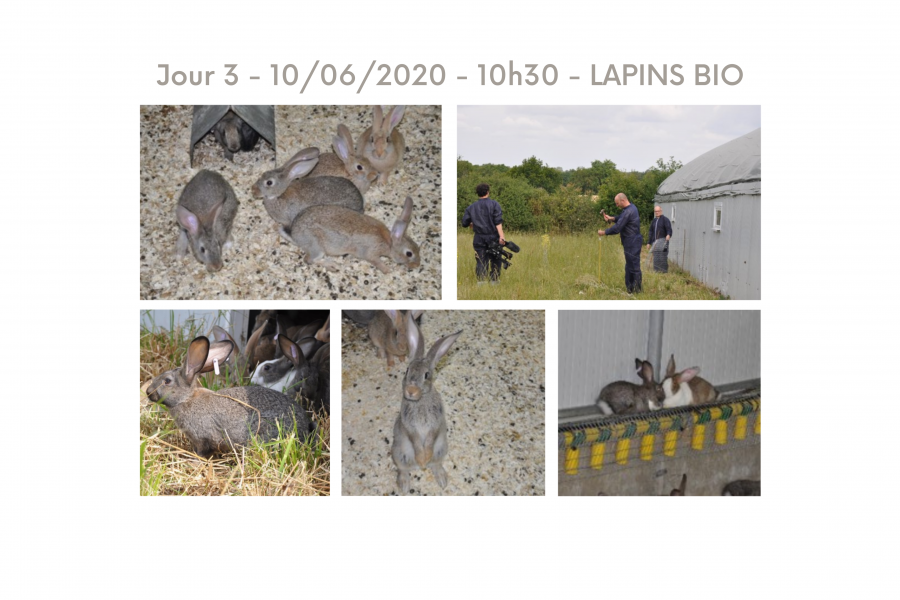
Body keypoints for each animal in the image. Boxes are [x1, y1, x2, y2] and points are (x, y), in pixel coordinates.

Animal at [147, 336, 312, 458]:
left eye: (167, 381)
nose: (148, 392)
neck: (186, 398)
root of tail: (305, 425)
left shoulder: (203, 437)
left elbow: (203, 450)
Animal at [284, 196, 422, 274]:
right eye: (409, 253)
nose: (417, 265)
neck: (389, 243)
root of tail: (295, 235)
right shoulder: (371, 253)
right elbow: (375, 261)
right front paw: (387, 270)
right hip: (316, 247)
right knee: (309, 259)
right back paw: (332, 265)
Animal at [392, 312, 464, 494]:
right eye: (407, 371)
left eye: (426, 375)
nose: (410, 390)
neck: (421, 400)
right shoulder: (410, 427)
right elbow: (417, 441)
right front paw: (422, 458)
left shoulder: (435, 424)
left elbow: (430, 439)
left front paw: (425, 457)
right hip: (398, 453)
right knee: (403, 469)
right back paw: (406, 484)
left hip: (441, 449)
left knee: (436, 464)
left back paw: (440, 478)